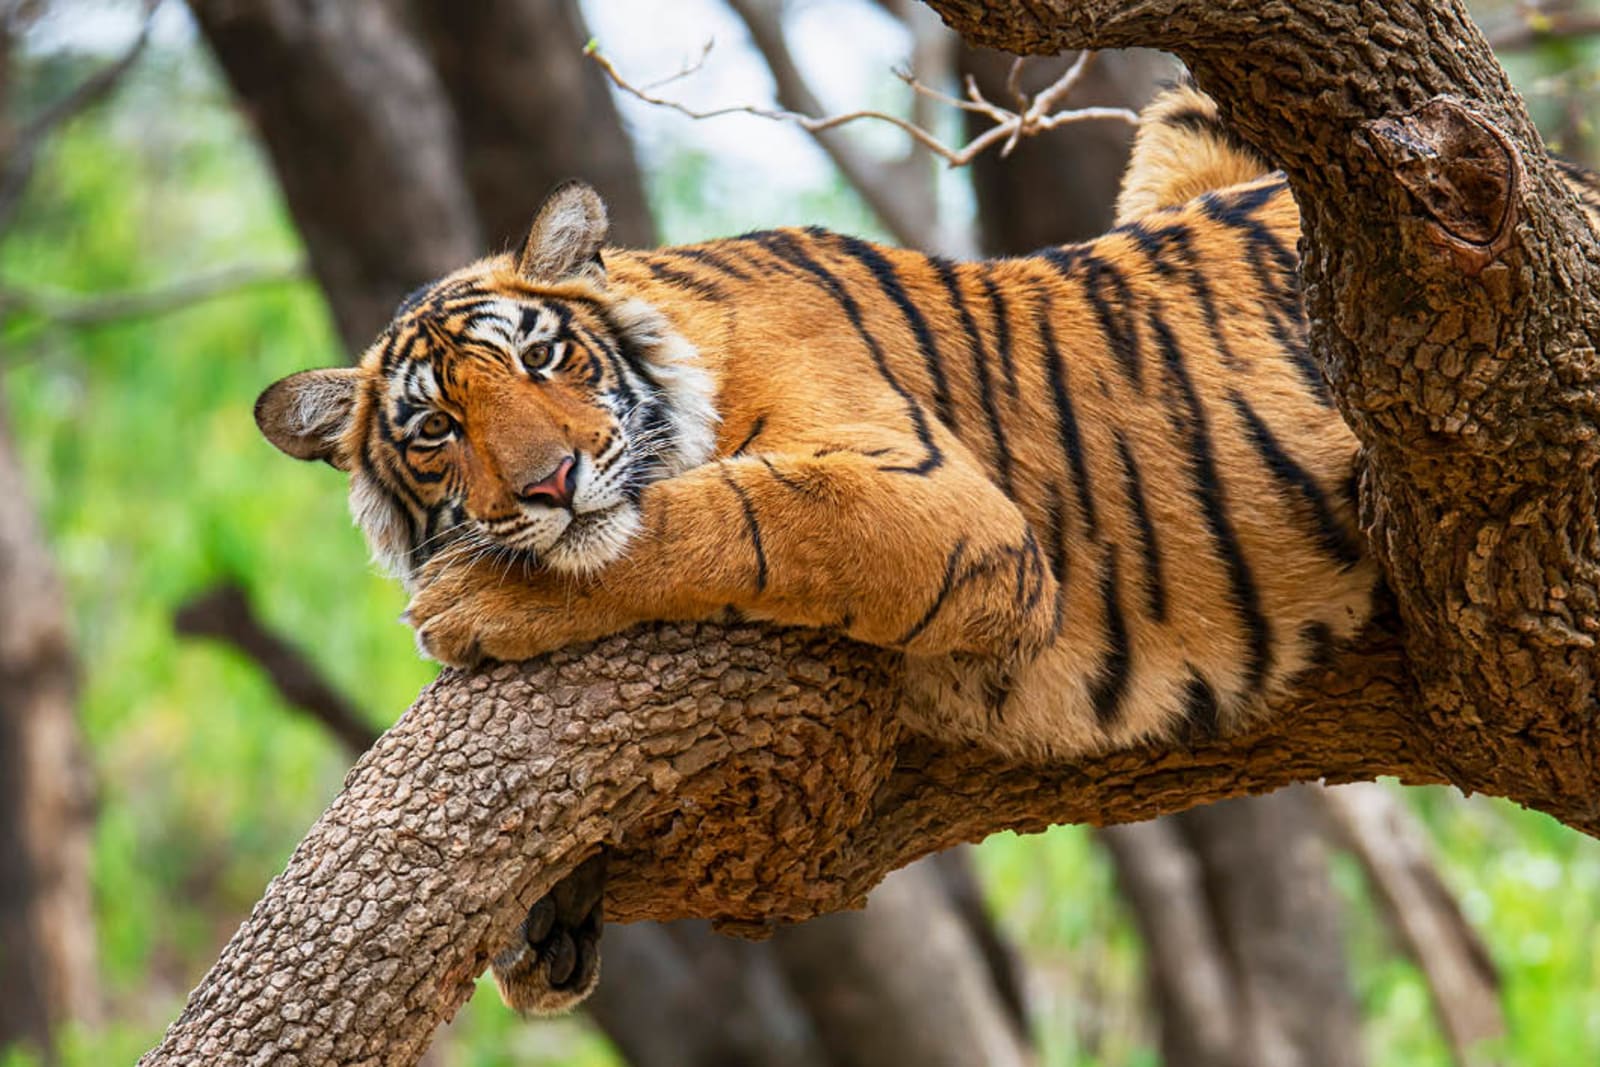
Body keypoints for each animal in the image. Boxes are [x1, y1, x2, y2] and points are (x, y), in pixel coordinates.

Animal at [254, 88, 1385, 1011]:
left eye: (541, 357)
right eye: (436, 428)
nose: (549, 483)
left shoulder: (943, 504)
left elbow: (726, 518)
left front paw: (477, 601)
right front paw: (547, 914)